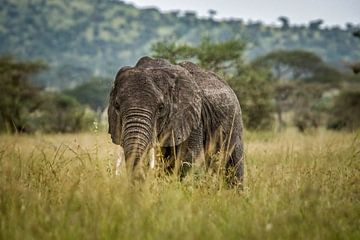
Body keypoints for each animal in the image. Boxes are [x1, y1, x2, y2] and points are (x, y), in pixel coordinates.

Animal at [109, 55, 245, 186]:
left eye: (161, 107)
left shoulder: (193, 118)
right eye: (116, 106)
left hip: (235, 122)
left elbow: (189, 159)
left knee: (234, 165)